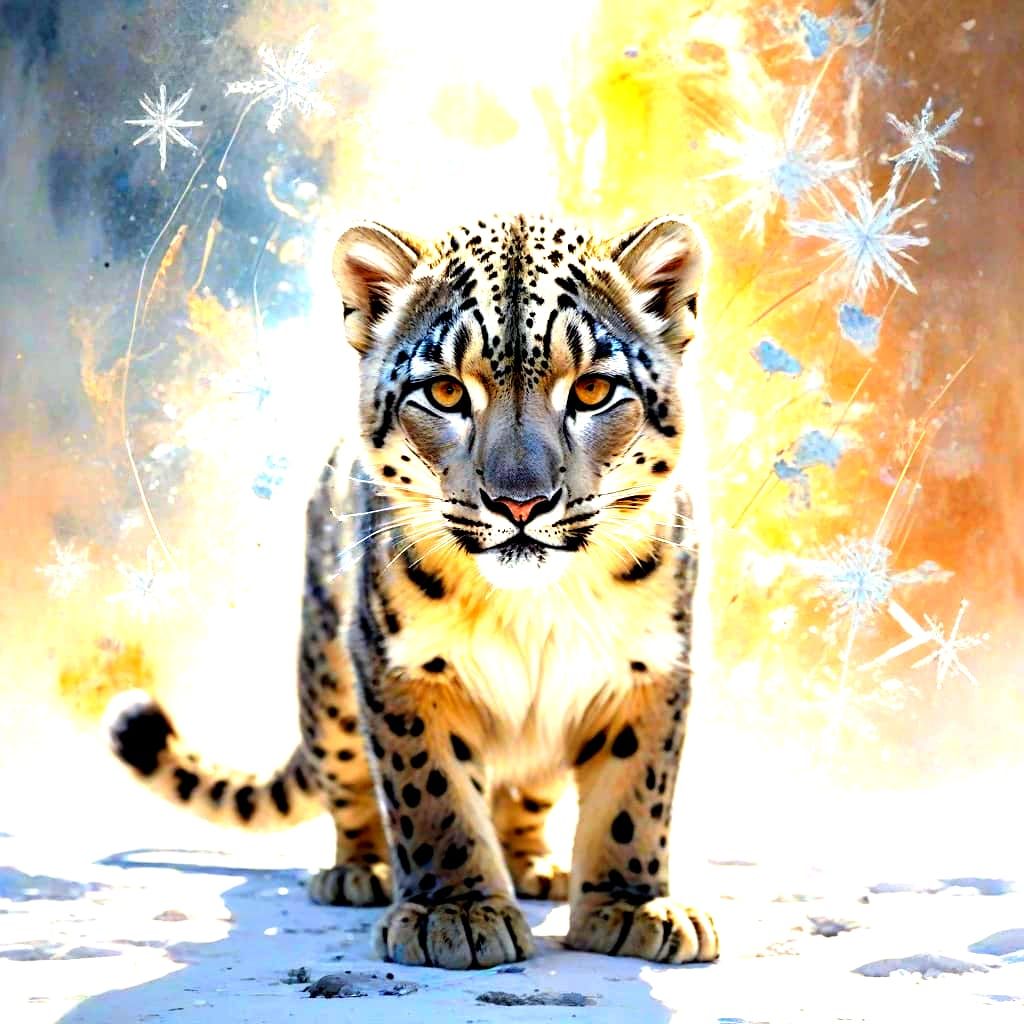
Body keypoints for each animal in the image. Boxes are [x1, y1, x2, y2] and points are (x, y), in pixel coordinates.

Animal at [107, 213, 719, 969]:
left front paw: (634, 907)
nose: (521, 502)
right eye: (448, 392)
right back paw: (359, 871)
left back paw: (536, 866)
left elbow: (633, 798)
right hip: (331, 684)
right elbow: (432, 792)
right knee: (348, 779)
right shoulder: (402, 668)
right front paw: (453, 912)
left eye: (593, 392)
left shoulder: (650, 665)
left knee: (528, 793)